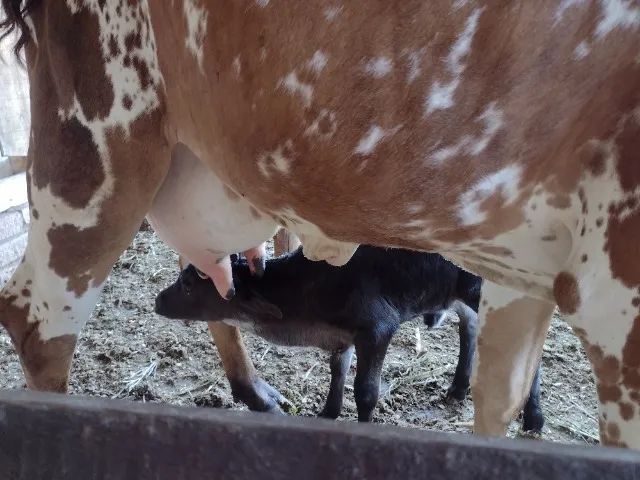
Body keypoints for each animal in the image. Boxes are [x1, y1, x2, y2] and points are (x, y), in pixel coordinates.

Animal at [155, 247, 545, 431]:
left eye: (187, 284)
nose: (158, 300)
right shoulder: (342, 336)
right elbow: (338, 369)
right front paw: (328, 412)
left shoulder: (378, 328)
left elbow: (366, 392)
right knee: (470, 327)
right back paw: (460, 386)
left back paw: (533, 417)